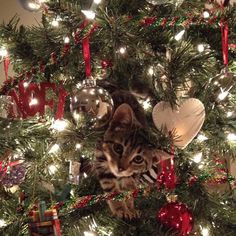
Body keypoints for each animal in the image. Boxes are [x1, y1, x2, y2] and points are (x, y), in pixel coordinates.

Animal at [94, 91, 170, 219]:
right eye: (118, 148)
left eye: (138, 159)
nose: (120, 168)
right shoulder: (101, 159)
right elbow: (112, 189)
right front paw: (120, 208)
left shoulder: (132, 177)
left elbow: (129, 190)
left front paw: (130, 208)